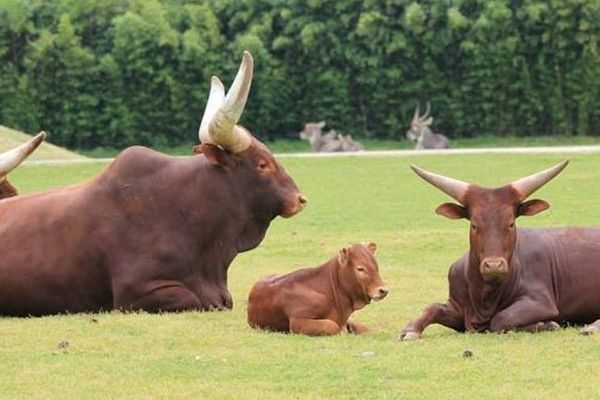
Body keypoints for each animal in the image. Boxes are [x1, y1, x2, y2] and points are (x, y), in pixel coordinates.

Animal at [247, 242, 390, 336]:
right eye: (360, 268)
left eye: (376, 266)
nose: (383, 290)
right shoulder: (297, 322)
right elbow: (332, 325)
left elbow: (362, 328)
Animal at [398, 161, 600, 340]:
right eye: (474, 224)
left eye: (511, 223)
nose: (494, 265)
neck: (484, 296)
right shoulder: (457, 307)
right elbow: (432, 308)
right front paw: (410, 330)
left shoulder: (540, 301)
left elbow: (501, 319)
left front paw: (547, 324)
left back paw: (591, 328)